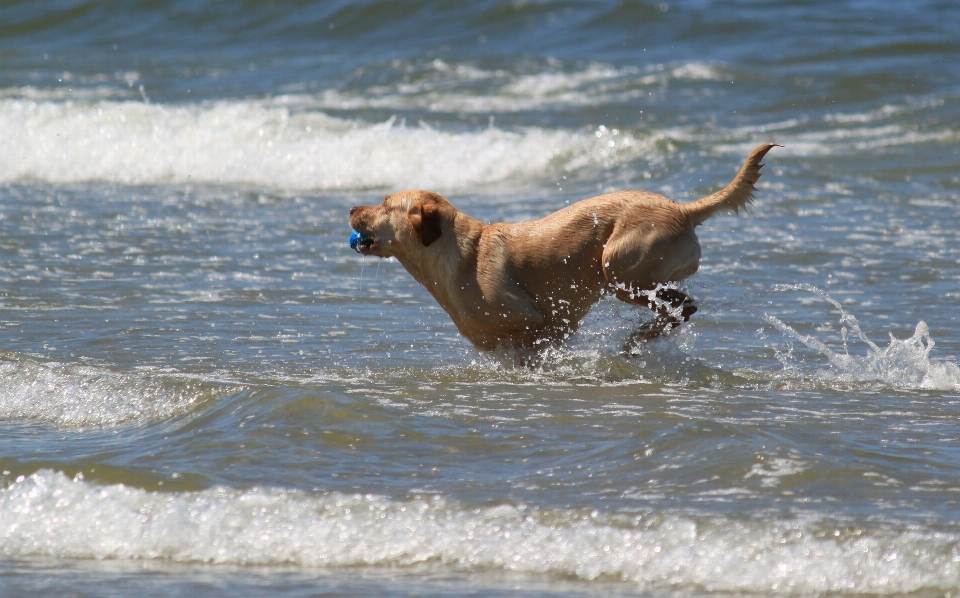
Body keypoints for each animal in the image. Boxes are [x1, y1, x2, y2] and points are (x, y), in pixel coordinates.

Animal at [348, 144, 776, 354]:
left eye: (385, 203)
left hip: (616, 267)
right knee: (680, 308)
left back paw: (636, 340)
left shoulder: (540, 325)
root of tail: (684, 209)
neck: (456, 255)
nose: (350, 209)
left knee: (681, 307)